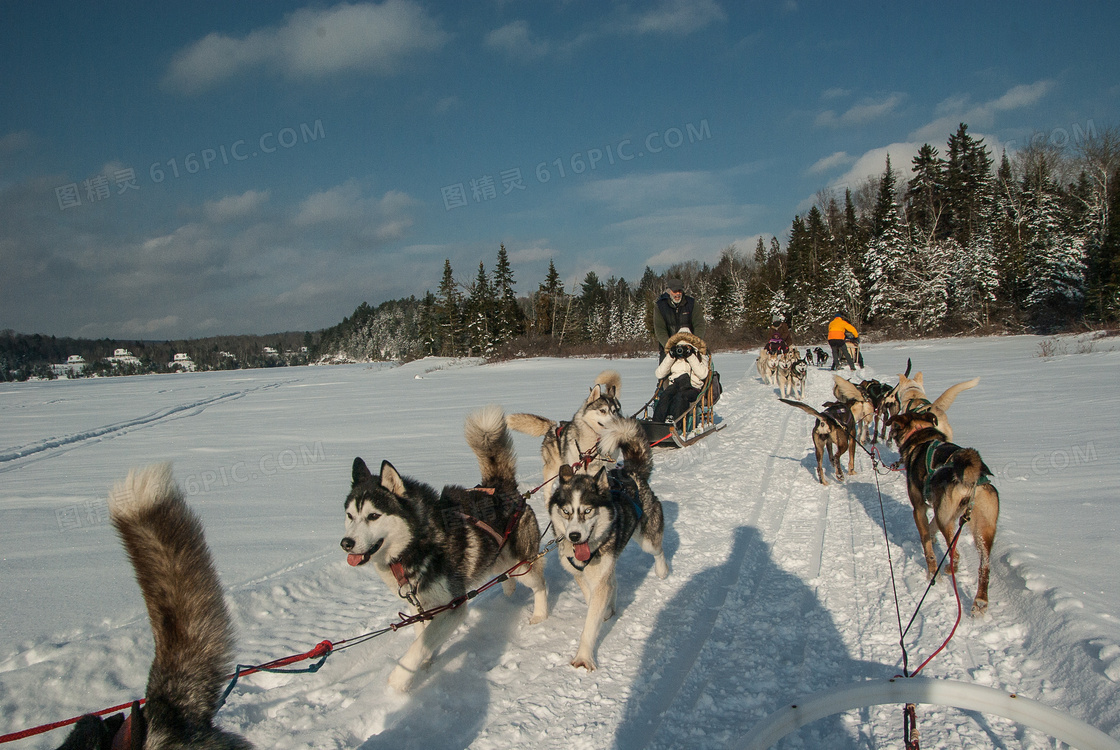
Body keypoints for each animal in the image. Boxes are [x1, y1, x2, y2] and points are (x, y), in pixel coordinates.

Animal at [340, 405, 551, 694]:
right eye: (350, 516)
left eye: (373, 516)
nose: (346, 543)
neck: (418, 544)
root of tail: (501, 486)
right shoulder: (425, 607)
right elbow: (423, 639)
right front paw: (425, 664)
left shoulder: (453, 606)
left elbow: (417, 647)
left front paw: (398, 682)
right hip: (498, 559)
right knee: (508, 576)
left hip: (523, 562)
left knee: (540, 584)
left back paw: (540, 615)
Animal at [508, 369, 622, 499]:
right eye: (602, 411)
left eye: (614, 411)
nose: (616, 422)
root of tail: (553, 426)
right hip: (552, 469)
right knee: (547, 490)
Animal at [546, 416, 667, 676]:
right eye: (566, 512)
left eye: (587, 511)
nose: (574, 536)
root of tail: (631, 472)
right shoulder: (581, 574)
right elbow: (592, 595)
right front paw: (605, 609)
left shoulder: (600, 576)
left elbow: (591, 622)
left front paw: (583, 658)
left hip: (647, 540)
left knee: (658, 550)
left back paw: (662, 571)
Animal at [887, 411, 1003, 617]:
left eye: (894, 426)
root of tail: (972, 478)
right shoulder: (939, 509)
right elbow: (931, 528)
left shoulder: (919, 509)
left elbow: (927, 544)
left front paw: (932, 572)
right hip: (983, 528)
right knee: (985, 565)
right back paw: (980, 602)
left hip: (946, 519)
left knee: (955, 554)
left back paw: (949, 568)